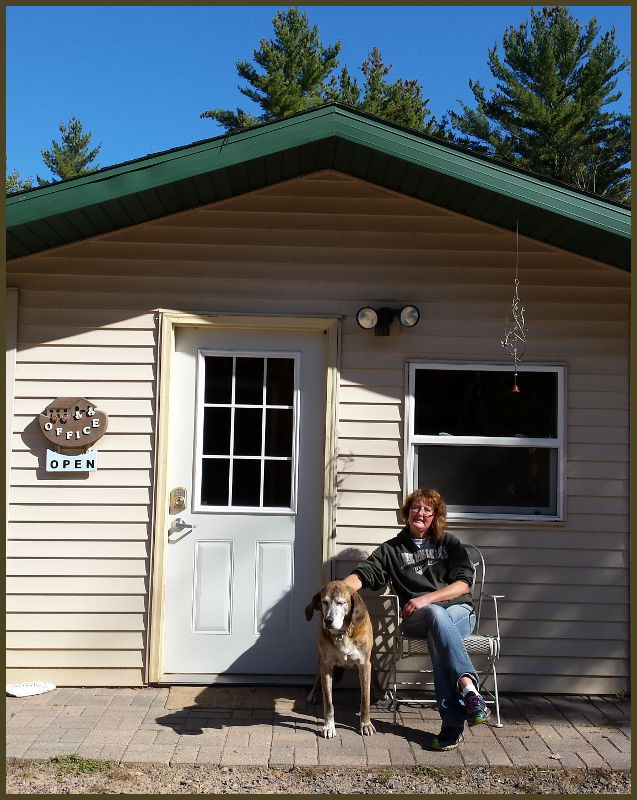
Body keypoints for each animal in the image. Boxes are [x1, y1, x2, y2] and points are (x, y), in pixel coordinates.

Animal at [304, 580, 376, 736]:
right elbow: (328, 702)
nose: (328, 620)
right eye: (324, 602)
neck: (342, 633)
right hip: (321, 660)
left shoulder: (365, 664)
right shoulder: (326, 665)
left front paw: (365, 724)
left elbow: (365, 699)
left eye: (340, 602)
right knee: (317, 677)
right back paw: (313, 694)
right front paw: (329, 726)